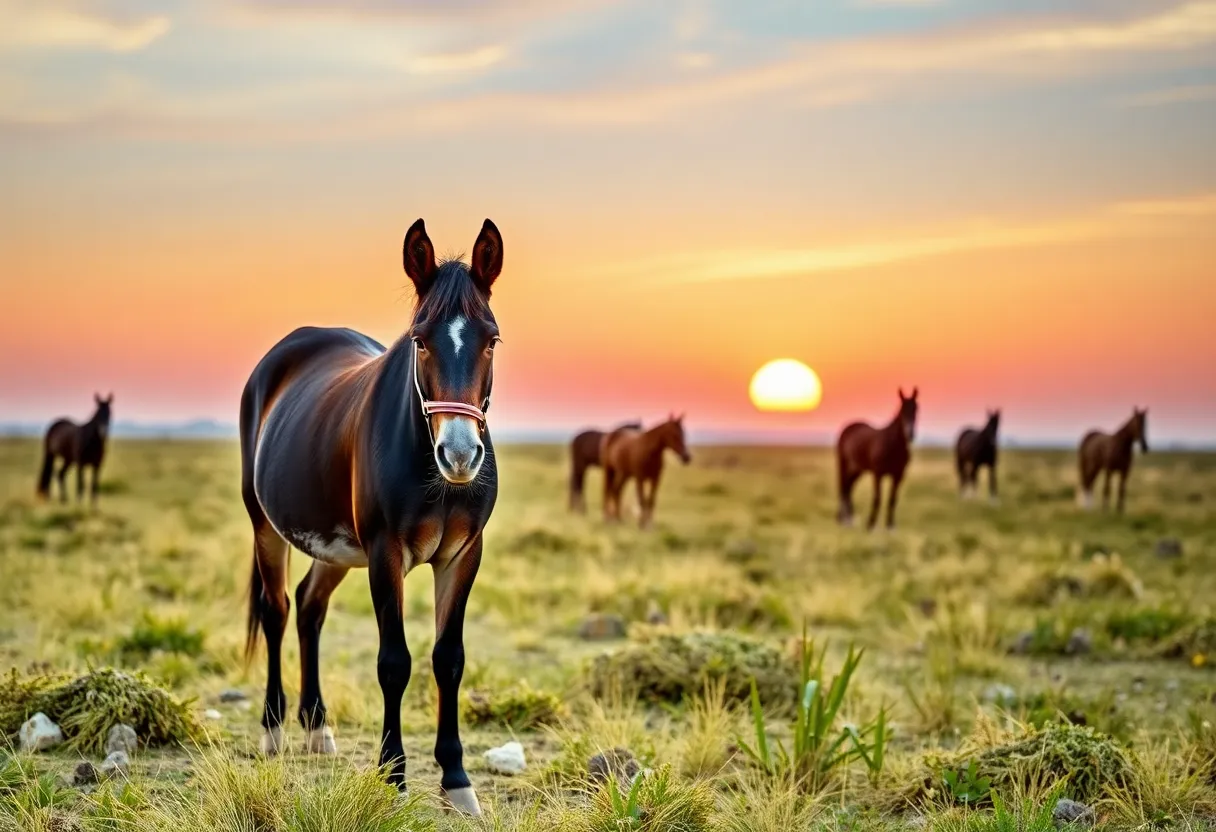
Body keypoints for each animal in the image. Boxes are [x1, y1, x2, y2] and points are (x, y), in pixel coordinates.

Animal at [239, 217, 505, 817]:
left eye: (492, 339)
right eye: (420, 340)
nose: (460, 455)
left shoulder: (463, 555)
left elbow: (448, 659)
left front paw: (457, 780)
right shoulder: (386, 554)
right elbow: (394, 662)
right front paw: (393, 775)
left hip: (335, 547)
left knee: (310, 608)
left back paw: (317, 727)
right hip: (266, 527)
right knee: (277, 610)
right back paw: (273, 729)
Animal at [836, 389, 919, 530]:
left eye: (916, 409)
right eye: (902, 410)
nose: (910, 434)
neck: (893, 446)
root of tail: (848, 427)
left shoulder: (898, 476)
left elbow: (892, 499)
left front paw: (890, 526)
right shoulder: (878, 474)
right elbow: (877, 498)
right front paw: (871, 524)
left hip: (857, 469)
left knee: (848, 488)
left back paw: (848, 520)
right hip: (844, 465)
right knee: (843, 488)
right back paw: (846, 520)